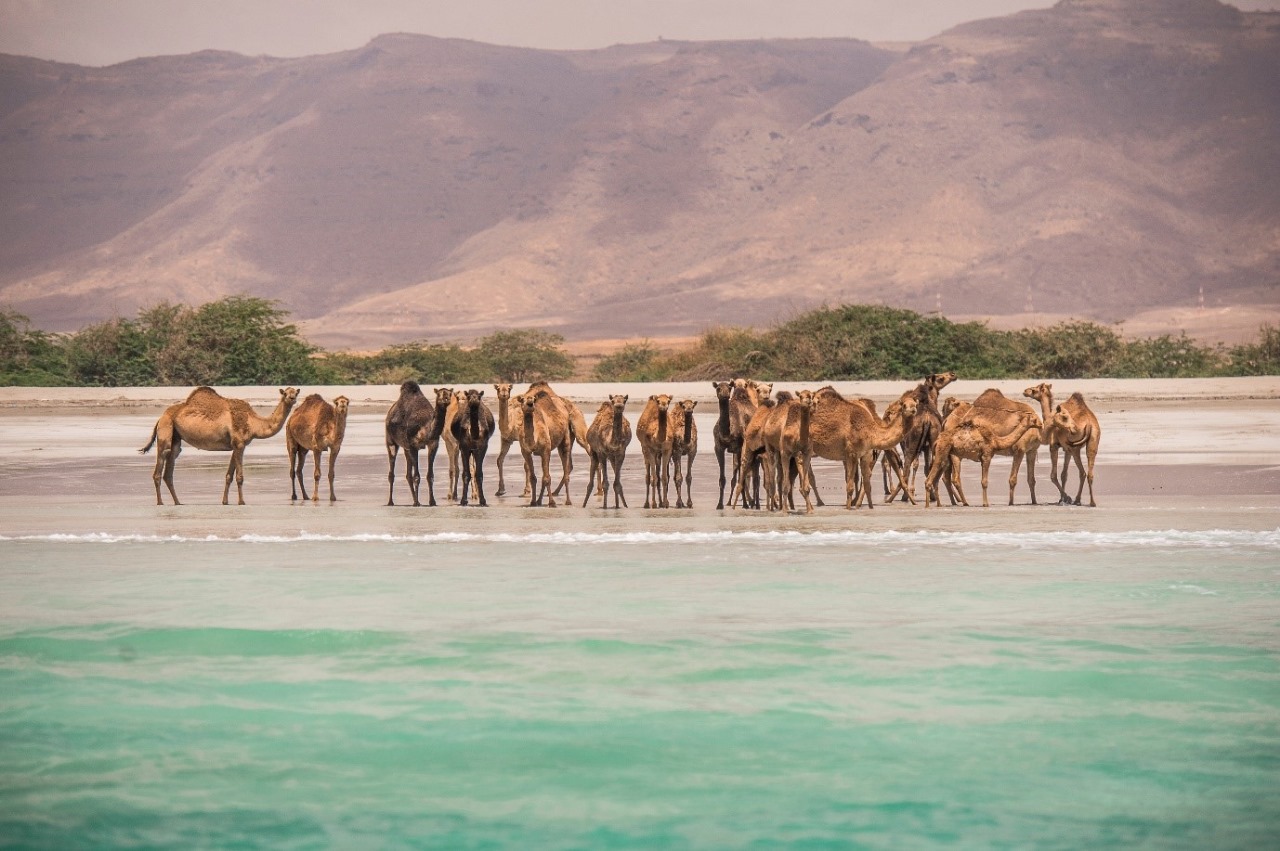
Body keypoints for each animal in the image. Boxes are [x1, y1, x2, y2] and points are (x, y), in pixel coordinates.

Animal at [140, 383, 299, 504]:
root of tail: (160, 417)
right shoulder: (239, 444)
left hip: (176, 439)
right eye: (285, 393)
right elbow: (239, 477)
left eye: (295, 393)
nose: (292, 398)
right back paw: (160, 502)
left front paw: (225, 501)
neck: (253, 423)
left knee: (170, 468)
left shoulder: (236, 445)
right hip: (165, 430)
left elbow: (229, 475)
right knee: (160, 465)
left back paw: (178, 502)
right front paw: (242, 502)